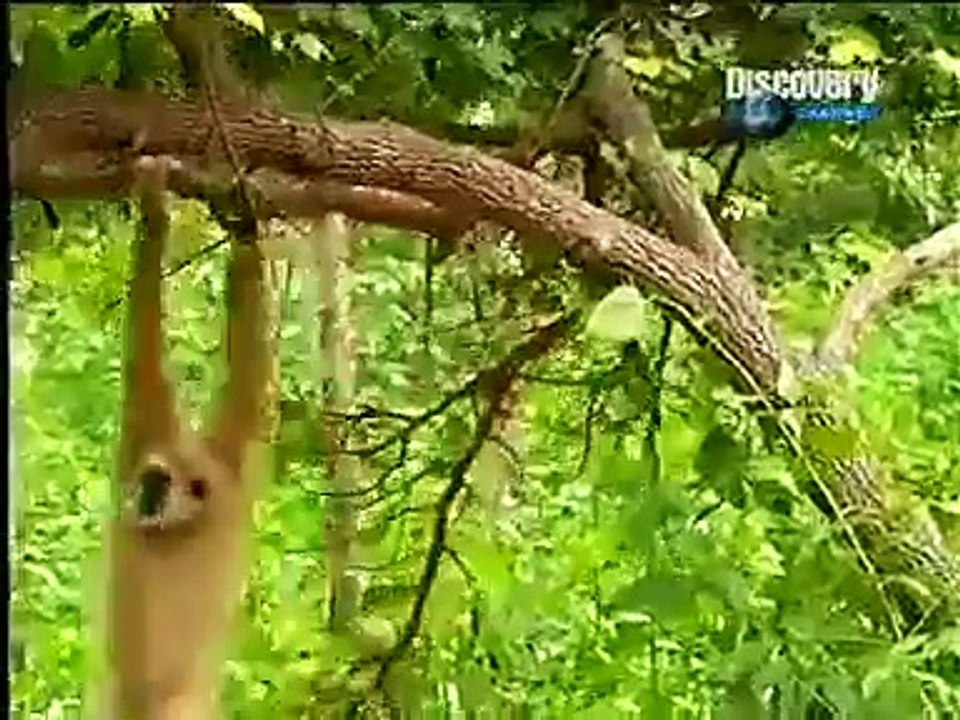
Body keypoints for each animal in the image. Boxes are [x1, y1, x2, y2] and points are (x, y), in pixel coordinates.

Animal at [107, 155, 267, 720]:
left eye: (160, 483)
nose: (145, 493)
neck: (179, 527)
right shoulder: (150, 429)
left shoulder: (230, 479)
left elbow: (248, 383)